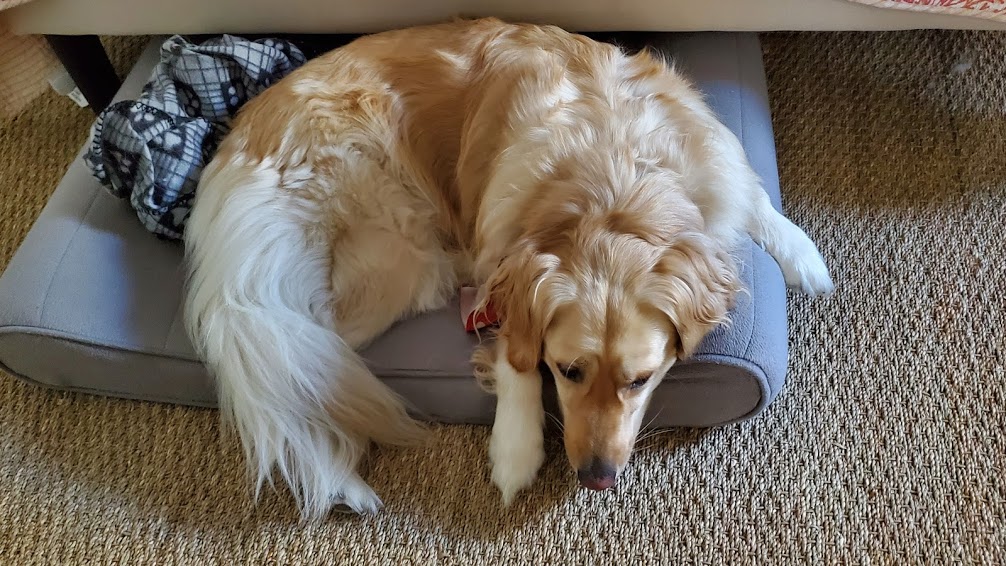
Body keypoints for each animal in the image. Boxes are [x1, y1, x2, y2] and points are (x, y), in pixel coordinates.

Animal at [183, 17, 833, 519]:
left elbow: (753, 196)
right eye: (566, 371)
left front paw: (802, 253)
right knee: (294, 364)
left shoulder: (715, 164)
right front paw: (516, 450)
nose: (595, 477)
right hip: (398, 260)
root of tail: (239, 142)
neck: (611, 185)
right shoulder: (502, 259)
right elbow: (515, 355)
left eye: (641, 379)